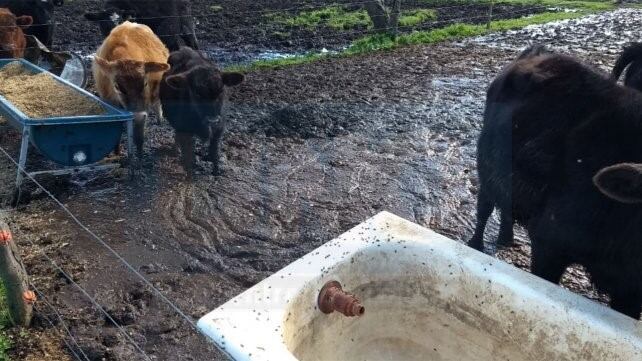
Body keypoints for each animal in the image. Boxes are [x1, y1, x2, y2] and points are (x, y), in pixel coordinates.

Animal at [92, 21, 169, 153]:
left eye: (145, 83)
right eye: (117, 86)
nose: (137, 113)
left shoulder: (142, 112)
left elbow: (139, 137)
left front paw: (139, 156)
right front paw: (117, 152)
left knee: (157, 104)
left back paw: (160, 120)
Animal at [158, 46, 242, 179]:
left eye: (221, 90)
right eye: (196, 93)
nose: (212, 120)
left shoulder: (219, 129)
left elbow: (214, 151)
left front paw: (216, 172)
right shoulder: (184, 129)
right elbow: (188, 155)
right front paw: (190, 175)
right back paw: (175, 151)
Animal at [470, 47, 640, 318]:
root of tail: (534, 54)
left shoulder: (631, 292)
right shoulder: (549, 243)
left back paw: (506, 237)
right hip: (487, 168)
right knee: (484, 208)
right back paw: (475, 244)